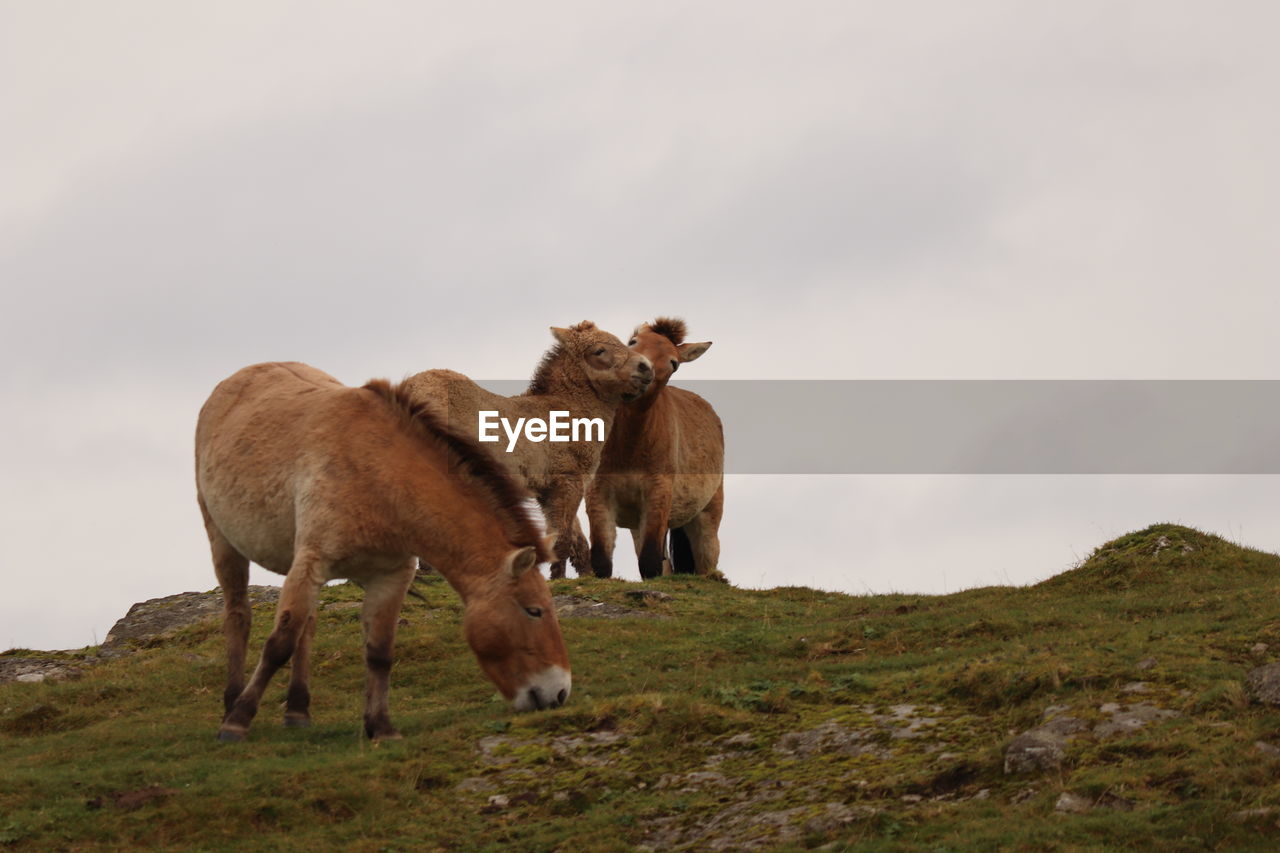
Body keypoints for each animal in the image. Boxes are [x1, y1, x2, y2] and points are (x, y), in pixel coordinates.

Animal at [195, 358, 570, 737]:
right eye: (534, 611)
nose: (559, 693)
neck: (380, 477)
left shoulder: (389, 576)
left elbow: (379, 652)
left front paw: (381, 726)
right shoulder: (312, 561)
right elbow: (278, 644)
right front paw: (238, 720)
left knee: (307, 628)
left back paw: (298, 711)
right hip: (225, 543)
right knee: (239, 617)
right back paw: (231, 703)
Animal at [407, 320, 655, 578]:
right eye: (599, 351)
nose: (646, 368)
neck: (566, 410)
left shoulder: (547, 490)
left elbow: (575, 537)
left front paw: (587, 576)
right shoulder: (568, 480)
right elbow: (562, 538)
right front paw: (558, 578)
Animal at [586, 317, 727, 578]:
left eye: (674, 363)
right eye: (633, 341)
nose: (644, 371)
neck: (628, 447)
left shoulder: (657, 495)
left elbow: (650, 564)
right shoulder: (599, 495)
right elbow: (602, 561)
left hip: (706, 517)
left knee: (707, 562)